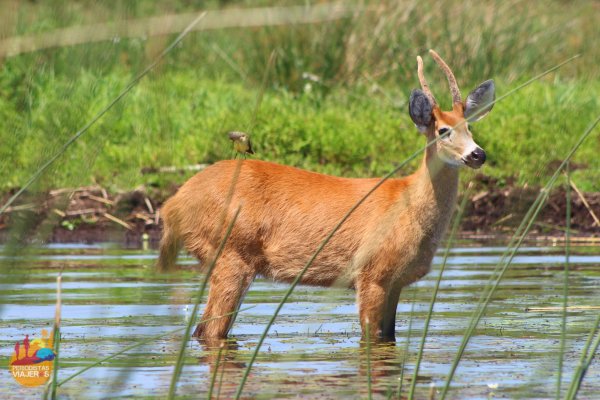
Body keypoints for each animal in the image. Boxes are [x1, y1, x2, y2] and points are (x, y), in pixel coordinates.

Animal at [157, 50, 494, 342]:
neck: (408, 204)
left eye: (470, 127)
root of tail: (172, 205)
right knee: (209, 330)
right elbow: (371, 339)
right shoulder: (371, 273)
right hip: (229, 254)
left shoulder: (395, 281)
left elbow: (388, 337)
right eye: (442, 130)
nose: (478, 154)